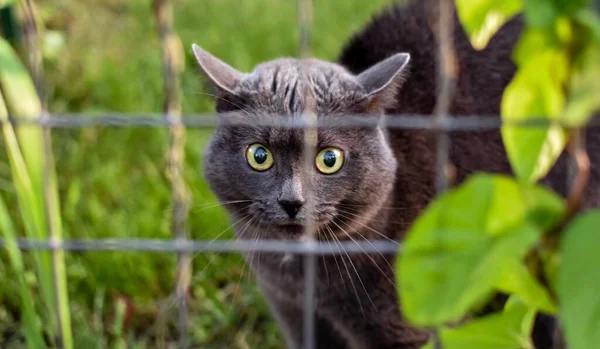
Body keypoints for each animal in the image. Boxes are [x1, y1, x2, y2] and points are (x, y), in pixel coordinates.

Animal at [192, 0, 600, 348]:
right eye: (259, 156)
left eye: (329, 159)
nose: (292, 201)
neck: (304, 277)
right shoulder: (295, 314)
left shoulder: (414, 320)